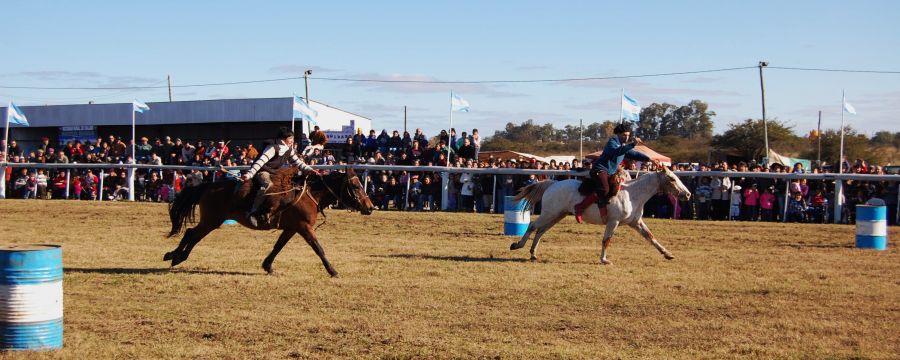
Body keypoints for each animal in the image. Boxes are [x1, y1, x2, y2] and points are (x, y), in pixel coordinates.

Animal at [163, 167, 374, 278]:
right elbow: (318, 249)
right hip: (211, 220)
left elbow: (278, 246)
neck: (310, 195)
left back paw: (176, 256)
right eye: (355, 186)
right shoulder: (305, 228)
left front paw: (267, 265)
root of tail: (208, 185)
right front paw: (333, 271)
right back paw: (174, 256)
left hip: (212, 221)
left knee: (192, 234)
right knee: (191, 233)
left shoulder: (291, 228)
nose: (370, 206)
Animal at [510, 167, 692, 264]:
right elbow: (607, 240)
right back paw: (517, 245)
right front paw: (604, 260)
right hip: (550, 213)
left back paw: (533, 253)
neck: (632, 194)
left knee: (541, 231)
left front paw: (667, 253)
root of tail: (552, 184)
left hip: (557, 215)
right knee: (533, 226)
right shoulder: (613, 222)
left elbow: (650, 237)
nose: (688, 194)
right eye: (672, 178)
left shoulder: (635, 222)